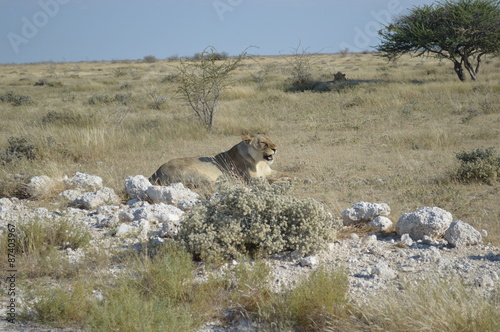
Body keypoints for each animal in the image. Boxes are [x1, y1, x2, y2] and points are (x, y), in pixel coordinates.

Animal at [147, 133, 290, 187]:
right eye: (263, 143)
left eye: (271, 140)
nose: (275, 149)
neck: (260, 162)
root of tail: (154, 173)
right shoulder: (251, 179)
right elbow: (269, 180)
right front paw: (285, 181)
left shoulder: (269, 171)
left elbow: (281, 173)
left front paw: (289, 177)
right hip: (195, 173)